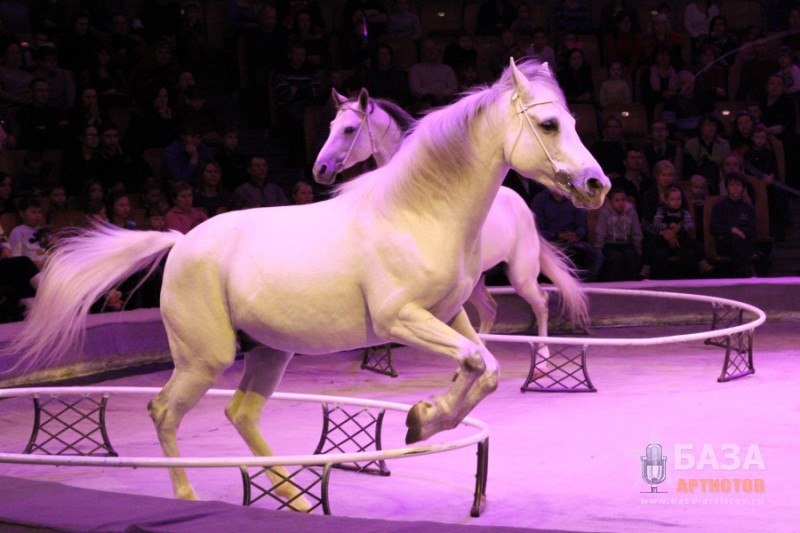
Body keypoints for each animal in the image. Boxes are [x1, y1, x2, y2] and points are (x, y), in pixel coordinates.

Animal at [313, 88, 590, 347]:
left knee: (541, 303)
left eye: (349, 129)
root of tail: (523, 206)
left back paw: (542, 359)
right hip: (477, 283)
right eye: (331, 126)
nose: (320, 169)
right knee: (490, 310)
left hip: (521, 274)